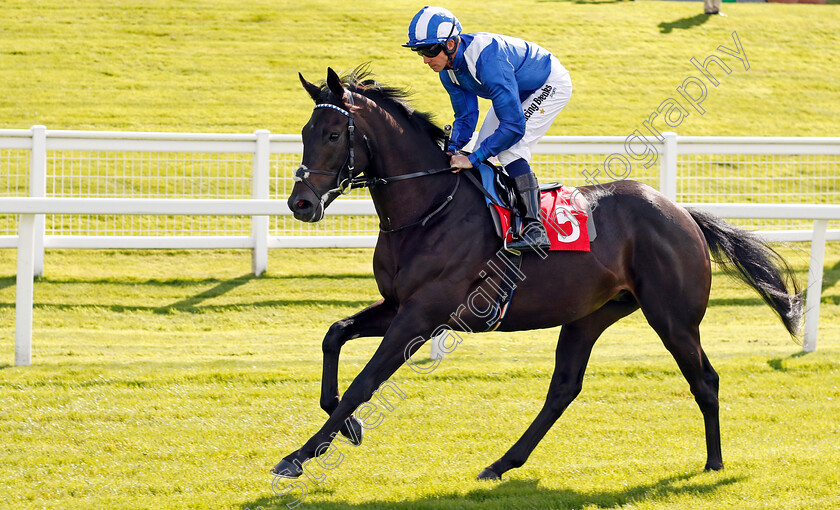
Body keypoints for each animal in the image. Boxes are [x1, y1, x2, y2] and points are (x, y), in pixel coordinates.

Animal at [274, 67, 800, 482]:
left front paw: (299, 455)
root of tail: (682, 212)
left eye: (334, 135)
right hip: (589, 315)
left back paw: (713, 463)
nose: (300, 203)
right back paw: (501, 463)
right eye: (304, 130)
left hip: (672, 317)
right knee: (563, 388)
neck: (429, 208)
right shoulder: (398, 305)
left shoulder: (422, 314)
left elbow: (365, 382)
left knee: (704, 379)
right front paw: (348, 428)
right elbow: (334, 334)